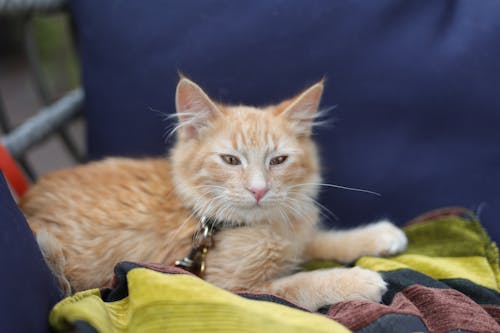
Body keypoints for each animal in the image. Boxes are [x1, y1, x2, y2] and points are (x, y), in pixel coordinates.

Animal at [19, 76, 406, 310]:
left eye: (278, 160)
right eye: (231, 160)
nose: (259, 189)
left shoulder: (292, 232)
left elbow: (318, 240)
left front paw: (378, 235)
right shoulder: (226, 288)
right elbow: (297, 282)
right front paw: (357, 279)